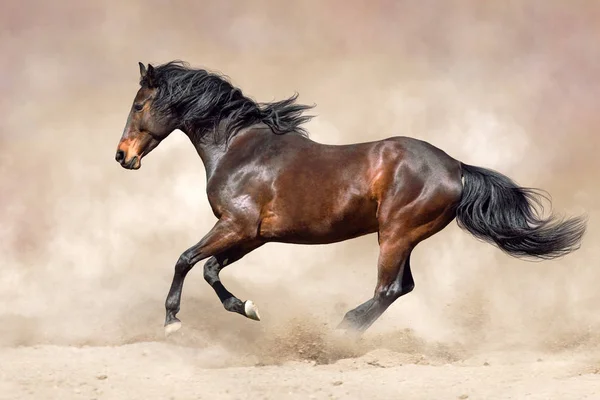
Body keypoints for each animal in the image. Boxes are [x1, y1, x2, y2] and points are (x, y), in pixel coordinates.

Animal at [112, 61, 584, 336]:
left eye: (138, 105)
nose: (122, 156)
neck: (239, 148)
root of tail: (456, 167)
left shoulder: (235, 225)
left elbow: (185, 259)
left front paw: (172, 322)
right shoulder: (253, 235)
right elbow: (210, 269)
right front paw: (246, 308)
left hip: (395, 234)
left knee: (388, 288)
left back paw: (342, 331)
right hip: (400, 237)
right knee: (400, 288)